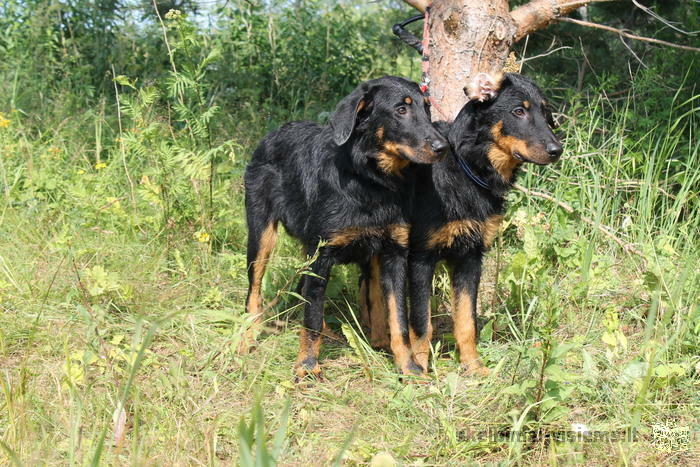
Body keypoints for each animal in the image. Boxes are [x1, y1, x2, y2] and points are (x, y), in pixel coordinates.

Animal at [241, 76, 448, 376]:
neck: (371, 182)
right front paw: (307, 366)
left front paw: (408, 366)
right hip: (261, 235)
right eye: (401, 110)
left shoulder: (394, 253)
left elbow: (398, 318)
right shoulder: (321, 257)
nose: (443, 148)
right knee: (254, 292)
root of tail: (274, 131)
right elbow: (311, 318)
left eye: (427, 109)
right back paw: (247, 338)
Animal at [360, 73, 564, 376]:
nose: (556, 150)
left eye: (545, 112)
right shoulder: (421, 258)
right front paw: (420, 368)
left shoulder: (471, 257)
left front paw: (473, 366)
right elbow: (422, 324)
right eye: (519, 111)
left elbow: (467, 321)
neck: (467, 168)